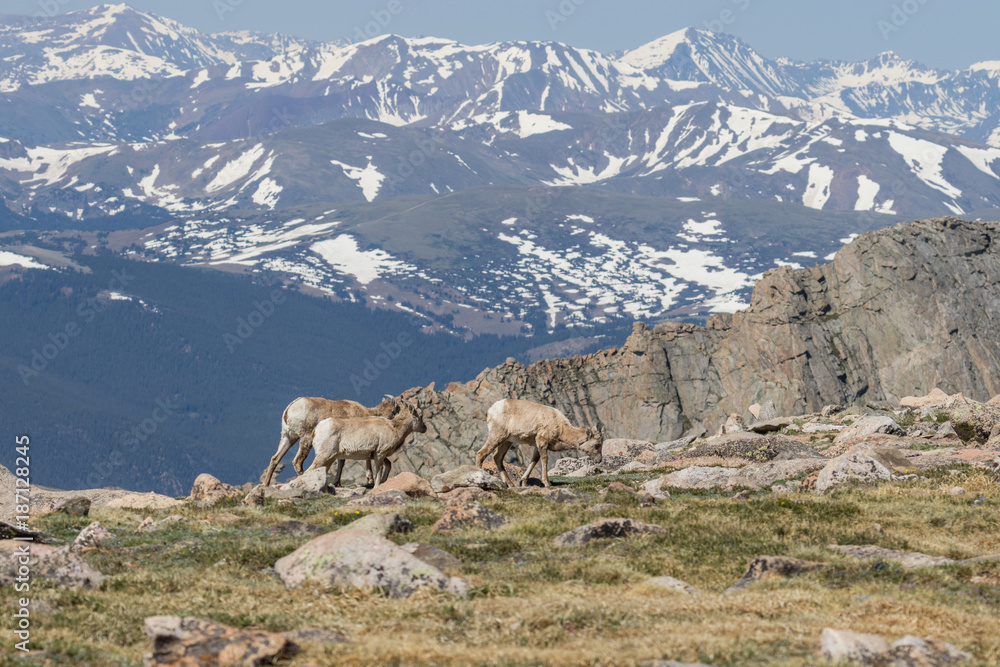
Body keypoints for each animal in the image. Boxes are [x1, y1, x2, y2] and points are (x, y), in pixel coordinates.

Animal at [260, 395, 399, 486]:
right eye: (394, 411)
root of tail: (289, 410)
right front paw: (369, 479)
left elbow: (341, 462)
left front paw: (337, 483)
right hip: (305, 438)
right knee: (298, 462)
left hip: (288, 437)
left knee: (275, 458)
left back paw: (266, 484)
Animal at [475, 398, 603, 488]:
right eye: (596, 445)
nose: (599, 460)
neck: (561, 427)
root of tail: (490, 410)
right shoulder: (542, 441)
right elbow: (544, 459)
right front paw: (547, 483)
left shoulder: (537, 445)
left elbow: (534, 461)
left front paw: (524, 482)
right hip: (496, 436)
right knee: (481, 454)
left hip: (506, 441)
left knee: (497, 457)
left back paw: (510, 485)